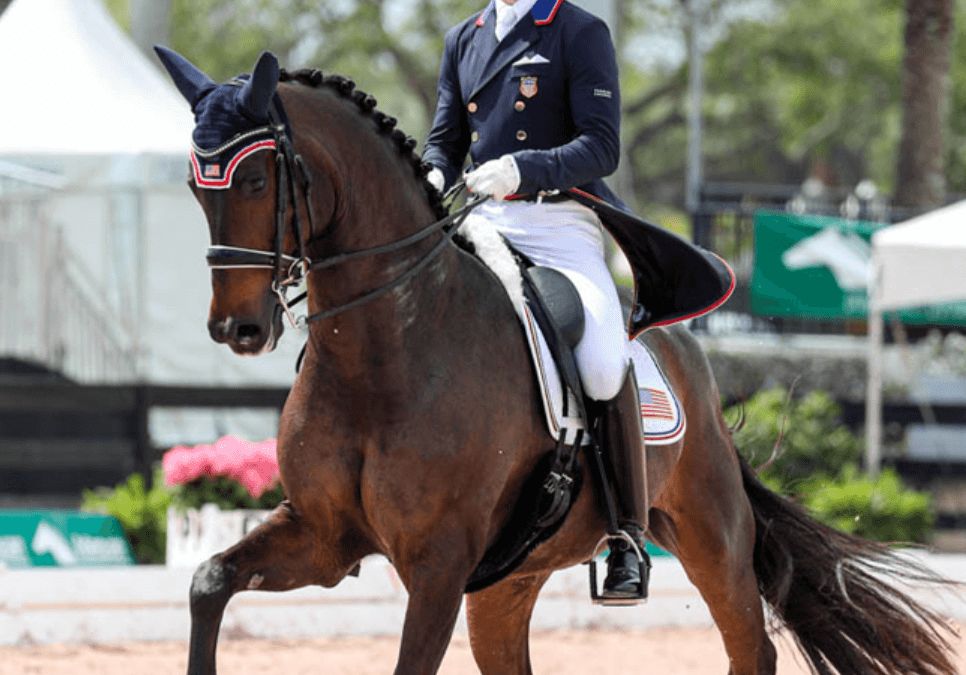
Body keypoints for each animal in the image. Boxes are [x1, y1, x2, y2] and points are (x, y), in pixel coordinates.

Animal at [155, 48, 956, 675]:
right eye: (196, 186)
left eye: (256, 181)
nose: (237, 328)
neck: (379, 356)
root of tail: (684, 349)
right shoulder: (324, 539)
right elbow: (207, 583)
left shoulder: (437, 565)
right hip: (507, 583)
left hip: (711, 536)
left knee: (750, 646)